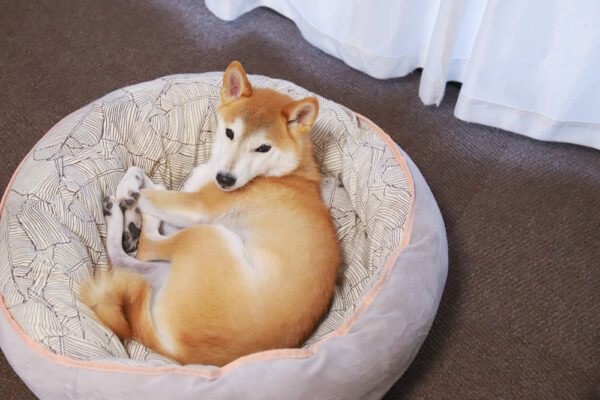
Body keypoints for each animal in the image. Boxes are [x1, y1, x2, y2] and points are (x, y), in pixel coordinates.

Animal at [81, 61, 340, 366]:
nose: (225, 180)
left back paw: (138, 220)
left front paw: (132, 195)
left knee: (146, 247)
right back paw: (122, 220)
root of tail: (177, 352)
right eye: (230, 133)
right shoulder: (187, 198)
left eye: (264, 147)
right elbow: (145, 176)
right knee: (127, 259)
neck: (284, 173)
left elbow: (152, 193)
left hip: (208, 237)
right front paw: (129, 192)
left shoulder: (195, 208)